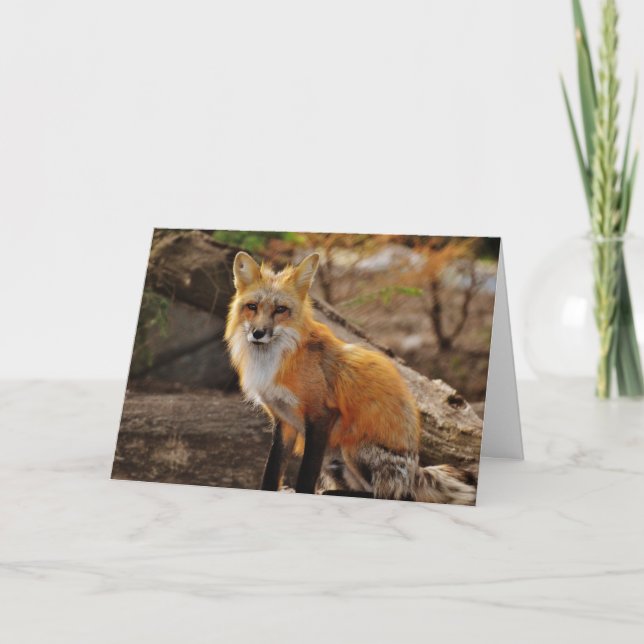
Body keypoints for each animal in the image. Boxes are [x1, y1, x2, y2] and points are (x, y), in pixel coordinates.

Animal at [224, 250, 476, 505]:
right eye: (252, 306)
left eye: (280, 310)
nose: (258, 333)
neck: (278, 359)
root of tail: (416, 471)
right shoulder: (283, 420)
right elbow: (271, 471)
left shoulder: (321, 416)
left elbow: (306, 476)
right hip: (333, 459)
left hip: (351, 446)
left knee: (396, 496)